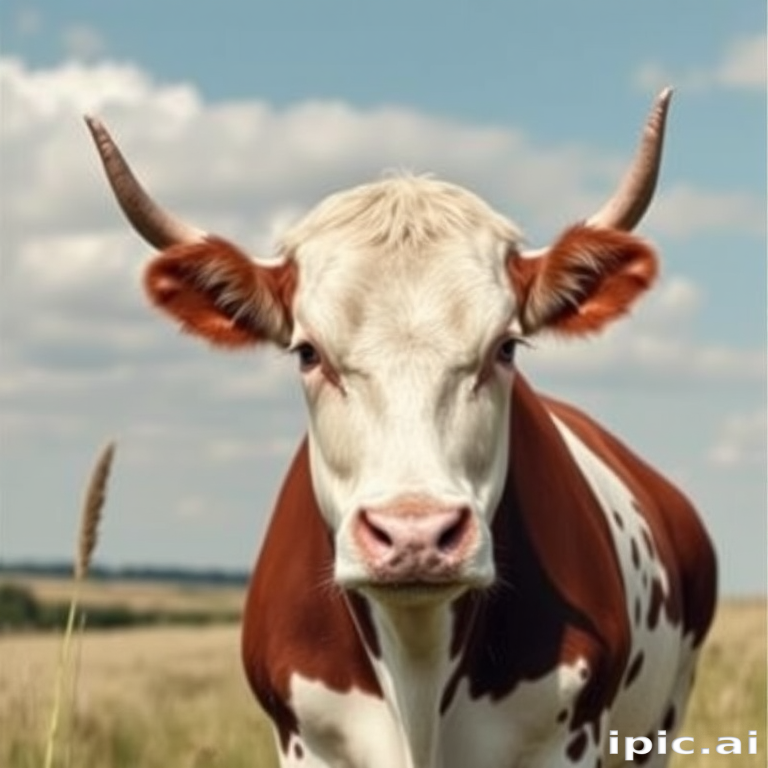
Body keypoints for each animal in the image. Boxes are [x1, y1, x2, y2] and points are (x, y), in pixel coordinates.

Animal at [86, 88, 717, 768]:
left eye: (506, 347)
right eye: (307, 352)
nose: (415, 535)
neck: (417, 670)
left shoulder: (568, 740)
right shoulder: (304, 740)